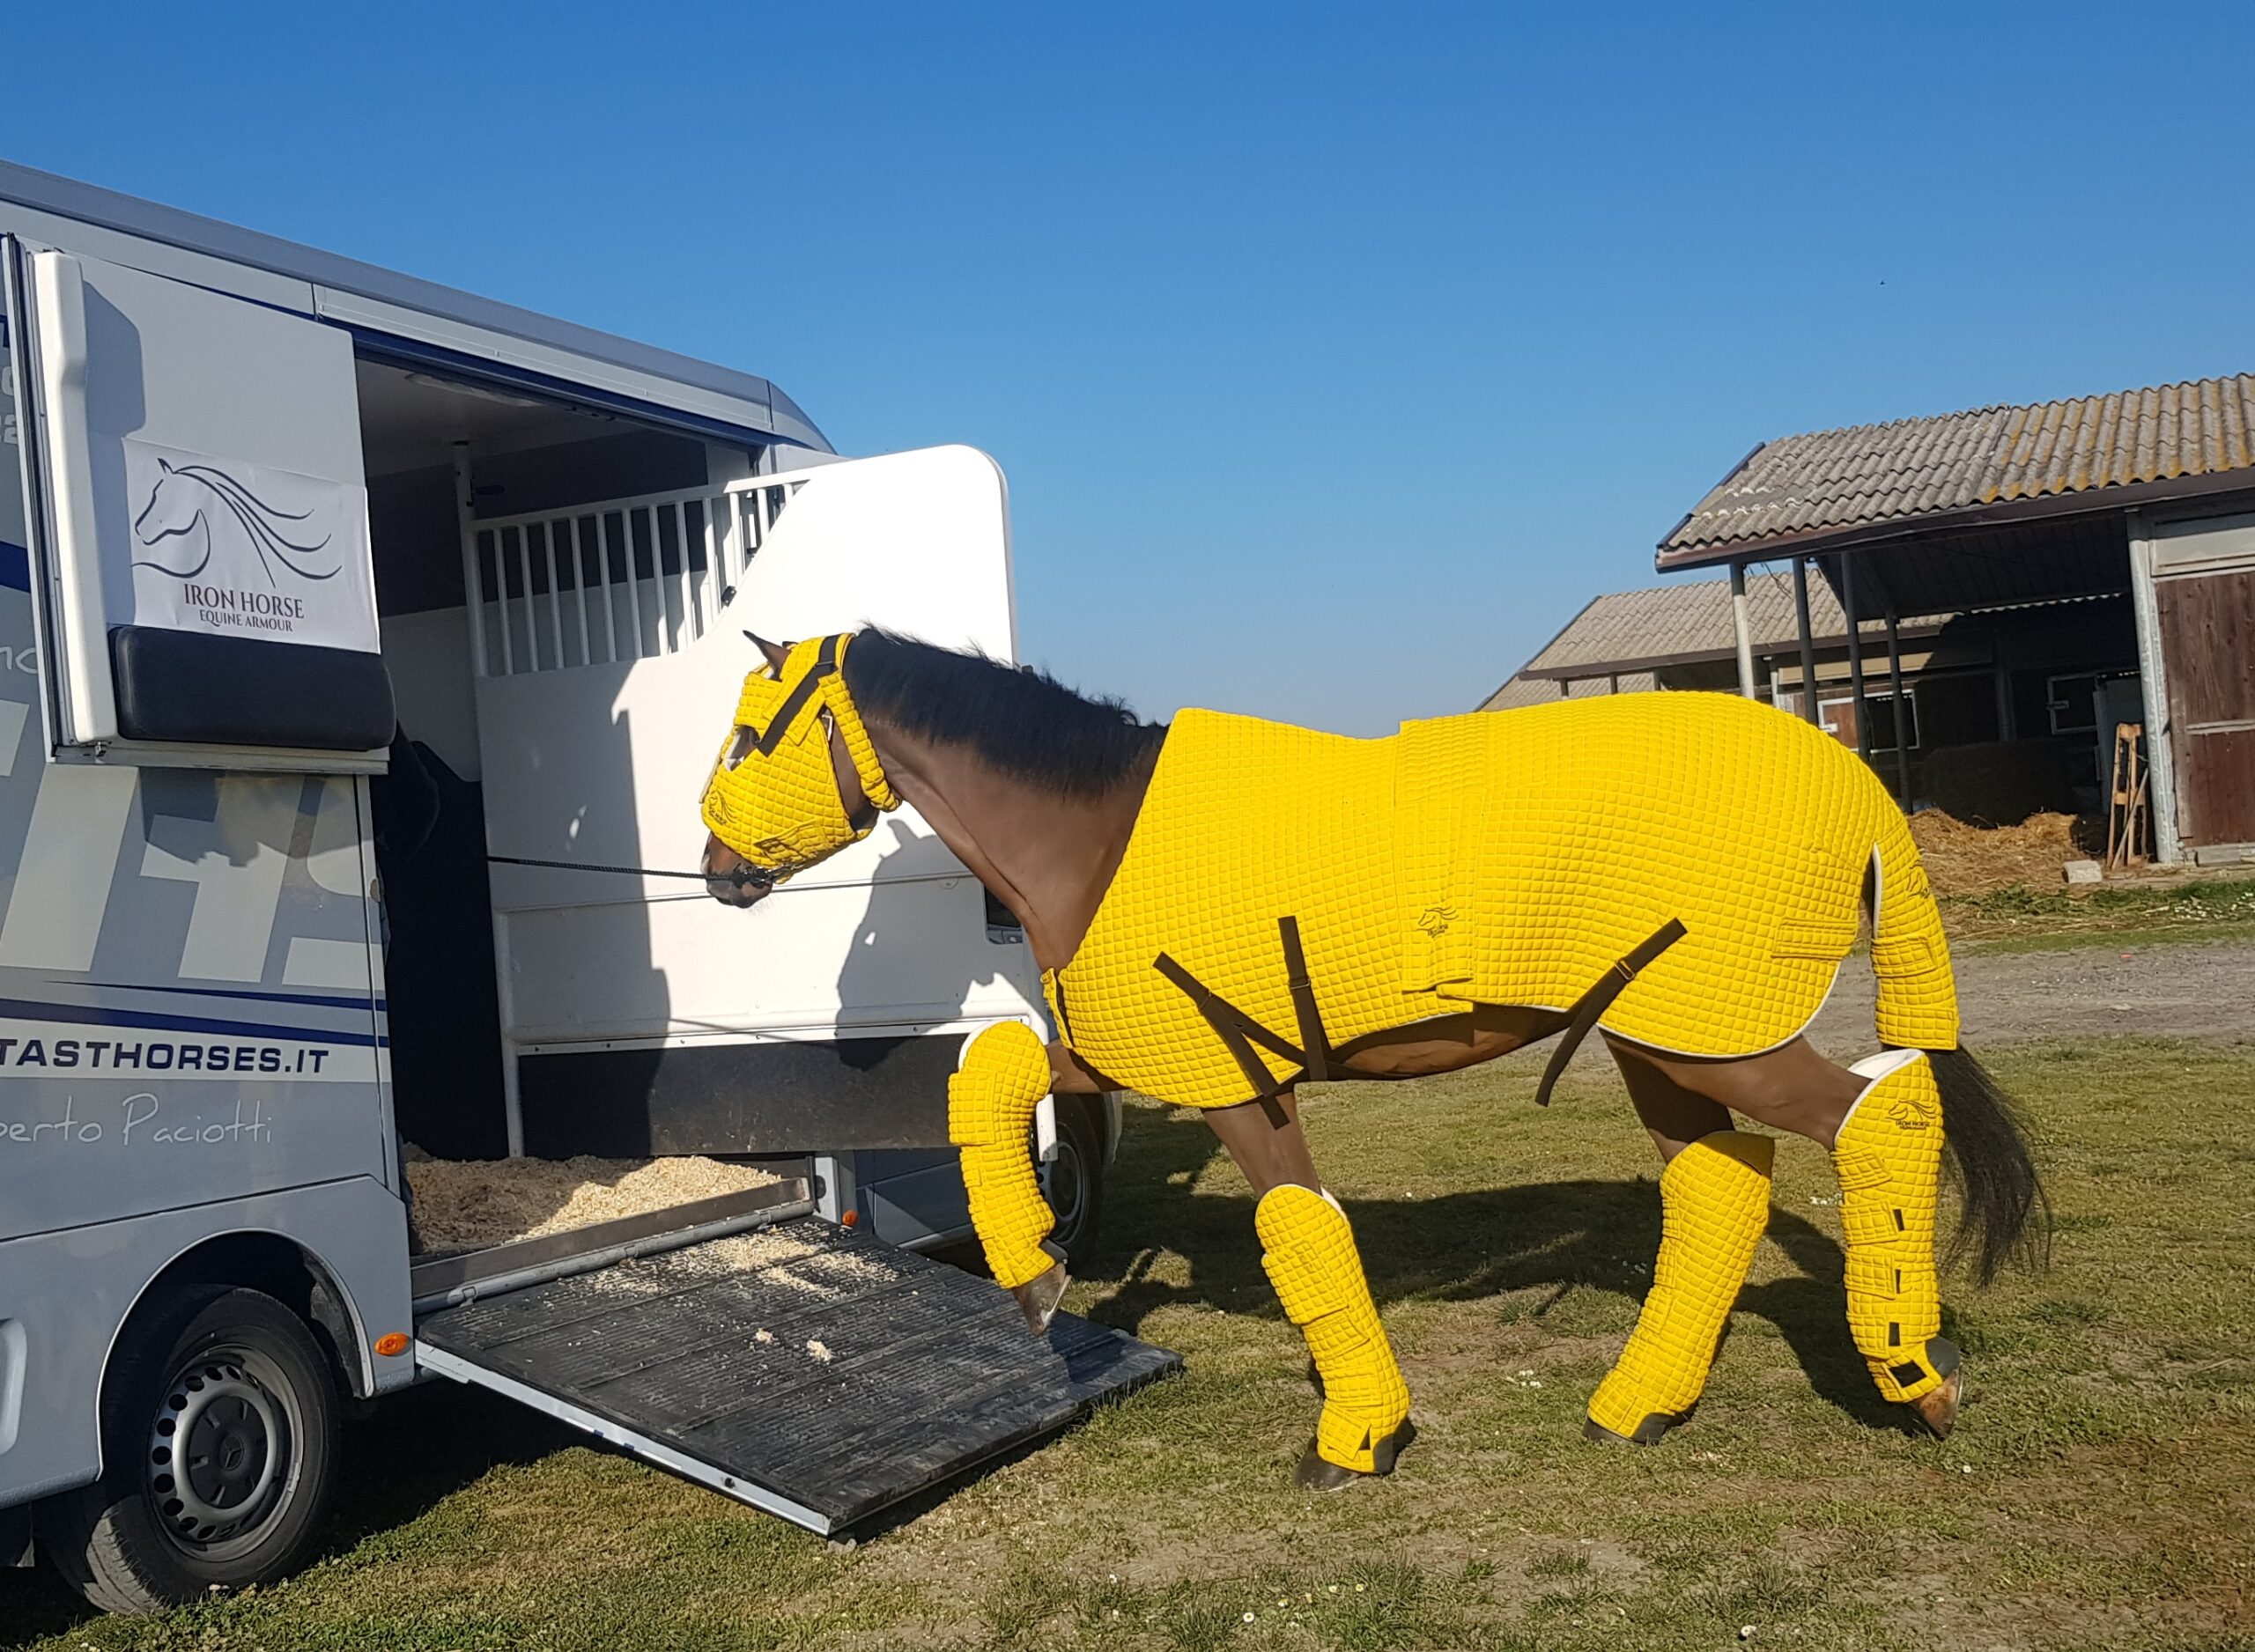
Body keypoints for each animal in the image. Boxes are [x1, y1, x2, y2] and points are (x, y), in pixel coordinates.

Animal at [697, 630, 2047, 1489]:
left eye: (753, 734)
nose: (714, 873)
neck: (1099, 836)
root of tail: (1846, 773)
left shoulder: (1236, 1082)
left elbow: (1300, 1225)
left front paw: (1357, 1439)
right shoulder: (1137, 1057)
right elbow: (988, 1076)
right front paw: (1033, 1274)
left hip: (1724, 1042)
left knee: (1885, 1117)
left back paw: (1917, 1375)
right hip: (1666, 1046)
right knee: (1721, 1187)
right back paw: (1641, 1405)